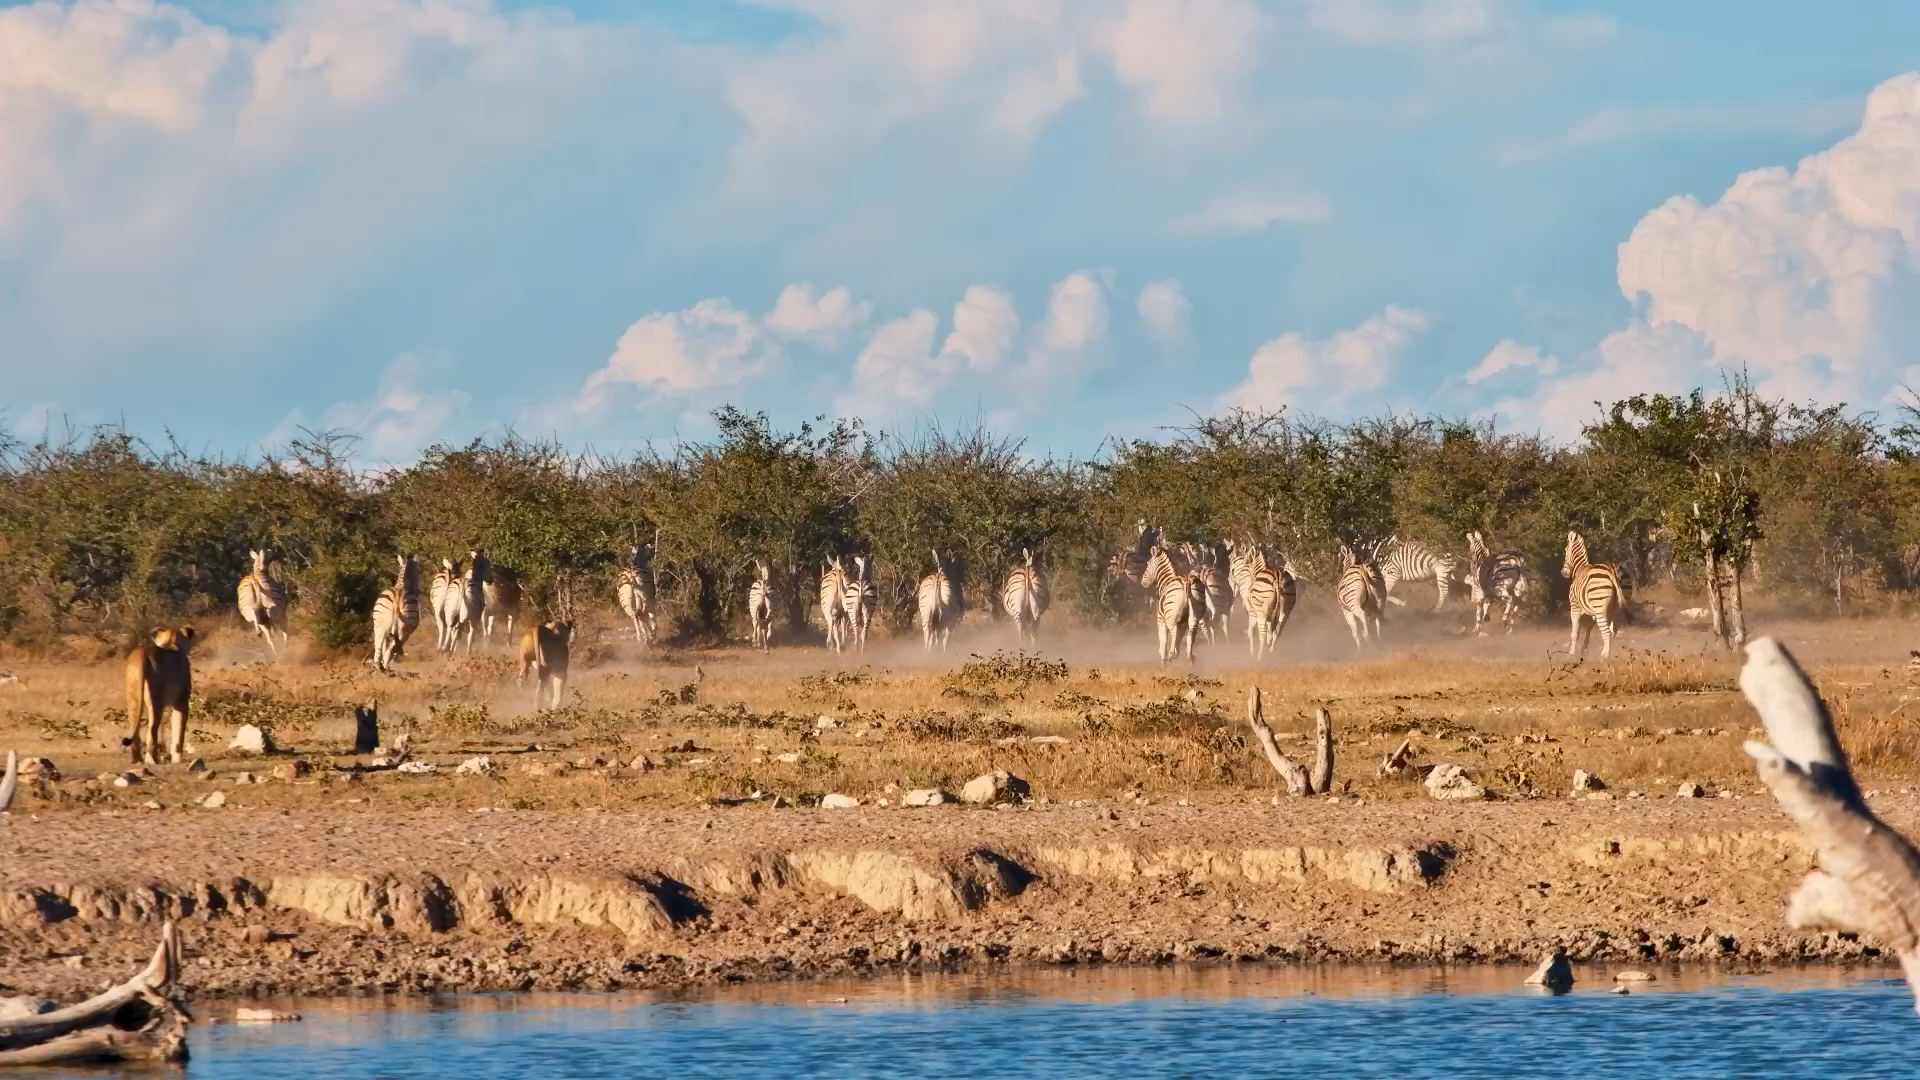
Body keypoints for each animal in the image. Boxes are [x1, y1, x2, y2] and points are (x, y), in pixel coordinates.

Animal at [125, 626, 196, 765]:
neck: (171, 643)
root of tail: (143, 652)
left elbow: (162, 727)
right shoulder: (181, 702)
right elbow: (179, 728)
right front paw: (177, 758)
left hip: (133, 699)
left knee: (135, 727)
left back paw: (137, 759)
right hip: (155, 697)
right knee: (151, 730)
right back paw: (151, 759)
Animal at [1563, 531, 1622, 659]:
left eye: (1565, 551)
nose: (1563, 573)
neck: (1579, 569)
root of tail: (1610, 572)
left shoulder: (1574, 607)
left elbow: (1575, 632)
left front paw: (1571, 653)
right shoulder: (1589, 613)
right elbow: (1586, 632)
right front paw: (1584, 651)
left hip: (1599, 607)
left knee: (1606, 632)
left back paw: (1604, 656)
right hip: (1611, 609)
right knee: (1611, 632)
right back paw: (1609, 654)